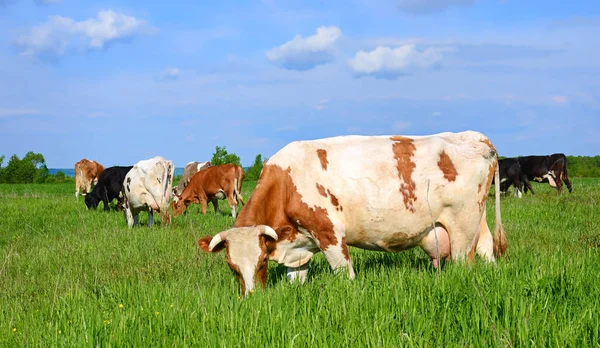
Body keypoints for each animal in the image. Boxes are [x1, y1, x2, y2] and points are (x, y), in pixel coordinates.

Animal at [197, 132, 506, 294]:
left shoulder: (330, 234)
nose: (252, 297)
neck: (286, 183)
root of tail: (472, 137)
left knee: (464, 263)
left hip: (462, 229)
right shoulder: (298, 248)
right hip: (477, 224)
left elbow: (344, 273)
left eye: (261, 262)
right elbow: (296, 278)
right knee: (487, 251)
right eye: (232, 266)